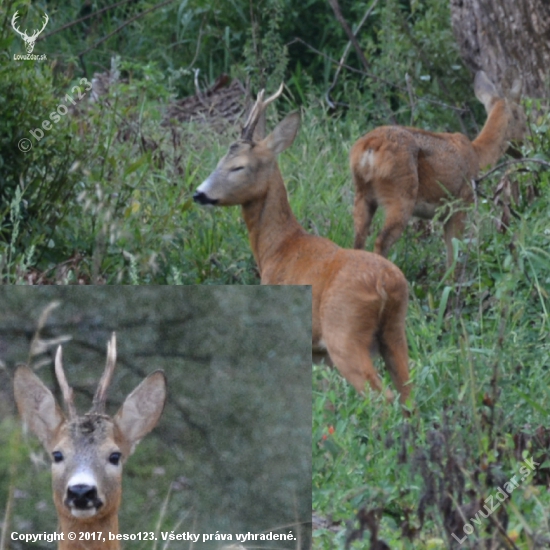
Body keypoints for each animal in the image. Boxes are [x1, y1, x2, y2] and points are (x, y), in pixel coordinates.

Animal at [196, 85, 412, 406]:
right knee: (409, 396)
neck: (277, 248)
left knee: (382, 398)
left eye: (238, 167)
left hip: (344, 333)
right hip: (395, 332)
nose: (199, 193)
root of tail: (387, 284)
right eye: (219, 162)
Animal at [352, 68, 528, 268]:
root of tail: (369, 148)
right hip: (401, 193)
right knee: (382, 241)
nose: (527, 145)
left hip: (362, 192)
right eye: (524, 118)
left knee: (358, 240)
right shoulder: (460, 203)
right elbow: (454, 256)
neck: (477, 154)